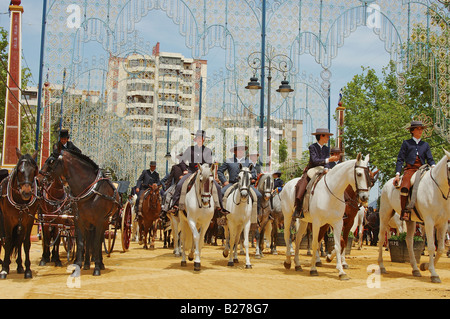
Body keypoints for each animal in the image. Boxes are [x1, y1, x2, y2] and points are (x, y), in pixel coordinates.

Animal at [0, 149, 39, 278]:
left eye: (33, 171)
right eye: (20, 171)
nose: (26, 192)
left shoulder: (29, 220)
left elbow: (26, 243)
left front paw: (27, 269)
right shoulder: (8, 219)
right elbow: (7, 241)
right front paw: (4, 268)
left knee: (19, 240)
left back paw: (20, 265)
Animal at [39, 150, 120, 278]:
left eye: (51, 161)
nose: (37, 178)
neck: (89, 190)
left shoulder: (99, 220)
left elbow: (96, 243)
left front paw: (97, 268)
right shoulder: (78, 220)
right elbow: (81, 243)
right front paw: (77, 266)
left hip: (105, 221)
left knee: (98, 240)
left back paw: (100, 263)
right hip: (88, 223)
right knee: (88, 239)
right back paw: (86, 263)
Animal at [280, 154, 370, 282]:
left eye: (368, 175)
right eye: (359, 174)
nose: (364, 197)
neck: (332, 192)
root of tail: (288, 184)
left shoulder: (338, 222)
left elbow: (339, 244)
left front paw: (341, 272)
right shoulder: (317, 222)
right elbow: (315, 243)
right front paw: (313, 269)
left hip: (303, 221)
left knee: (297, 239)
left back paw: (297, 265)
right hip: (288, 217)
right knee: (287, 235)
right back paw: (288, 261)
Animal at [378, 149, 448, 284]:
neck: (436, 189)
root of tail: (387, 184)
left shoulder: (443, 223)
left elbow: (441, 248)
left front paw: (425, 266)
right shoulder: (429, 222)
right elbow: (431, 246)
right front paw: (433, 274)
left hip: (410, 221)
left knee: (409, 241)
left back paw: (415, 269)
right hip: (384, 216)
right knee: (381, 238)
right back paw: (382, 267)